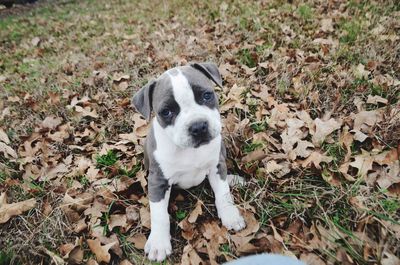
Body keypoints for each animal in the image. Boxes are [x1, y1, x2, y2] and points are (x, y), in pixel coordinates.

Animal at [132, 62, 244, 260]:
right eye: (166, 112)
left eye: (207, 95)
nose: (198, 127)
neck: (189, 151)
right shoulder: (158, 181)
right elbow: (159, 214)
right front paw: (159, 243)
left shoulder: (215, 166)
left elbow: (223, 193)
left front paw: (230, 215)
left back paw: (233, 179)